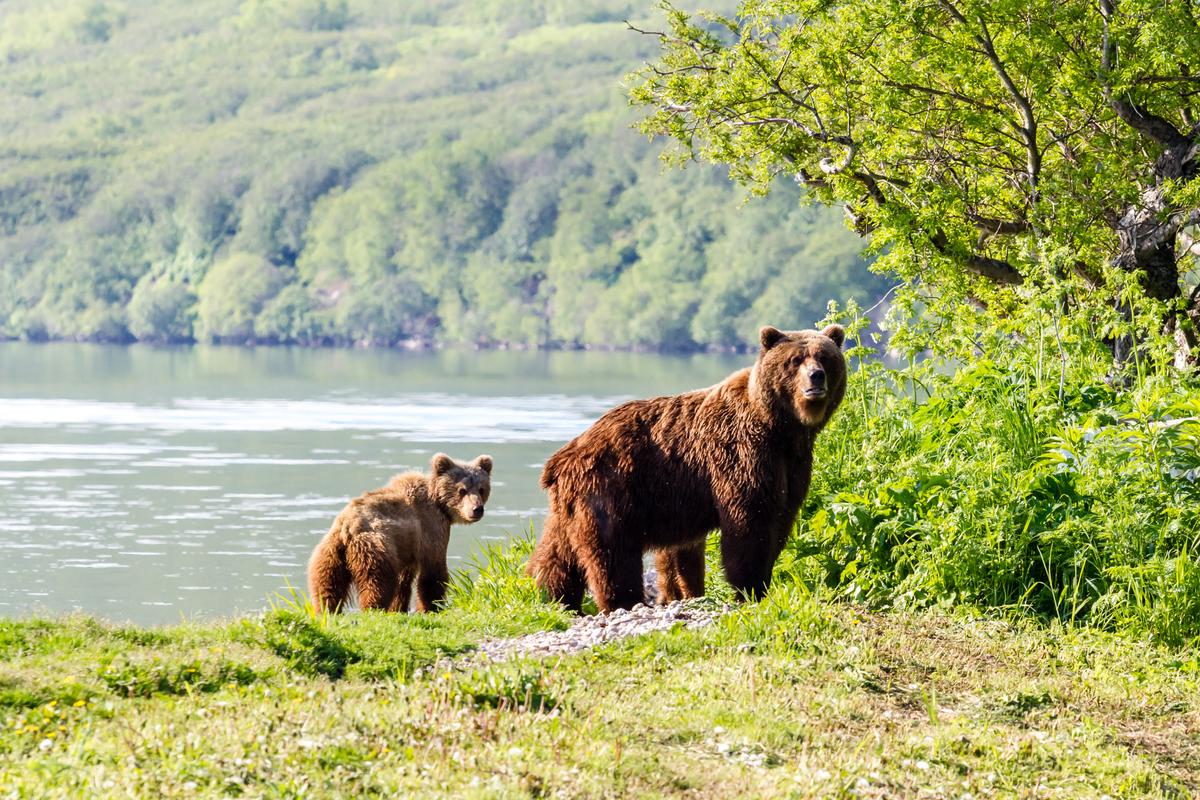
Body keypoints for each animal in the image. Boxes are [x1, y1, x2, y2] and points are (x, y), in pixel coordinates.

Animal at [314, 453, 496, 618]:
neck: (439, 504)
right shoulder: (430, 529)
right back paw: (373, 609)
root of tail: (348, 528)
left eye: (482, 489)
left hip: (331, 553)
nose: (477, 509)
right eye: (462, 490)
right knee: (377, 581)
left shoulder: (407, 547)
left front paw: (398, 609)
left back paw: (326, 610)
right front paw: (431, 607)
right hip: (373, 547)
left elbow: (403, 581)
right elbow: (433, 572)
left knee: (326, 584)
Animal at [530, 326, 849, 614]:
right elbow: (750, 521)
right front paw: (750, 586)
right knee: (612, 551)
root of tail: (561, 457)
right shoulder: (742, 452)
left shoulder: (791, 463)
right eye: (795, 359)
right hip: (610, 488)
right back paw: (623, 601)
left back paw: (553, 594)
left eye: (824, 357)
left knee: (558, 551)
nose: (816, 376)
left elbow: (781, 518)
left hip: (573, 504)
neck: (781, 427)